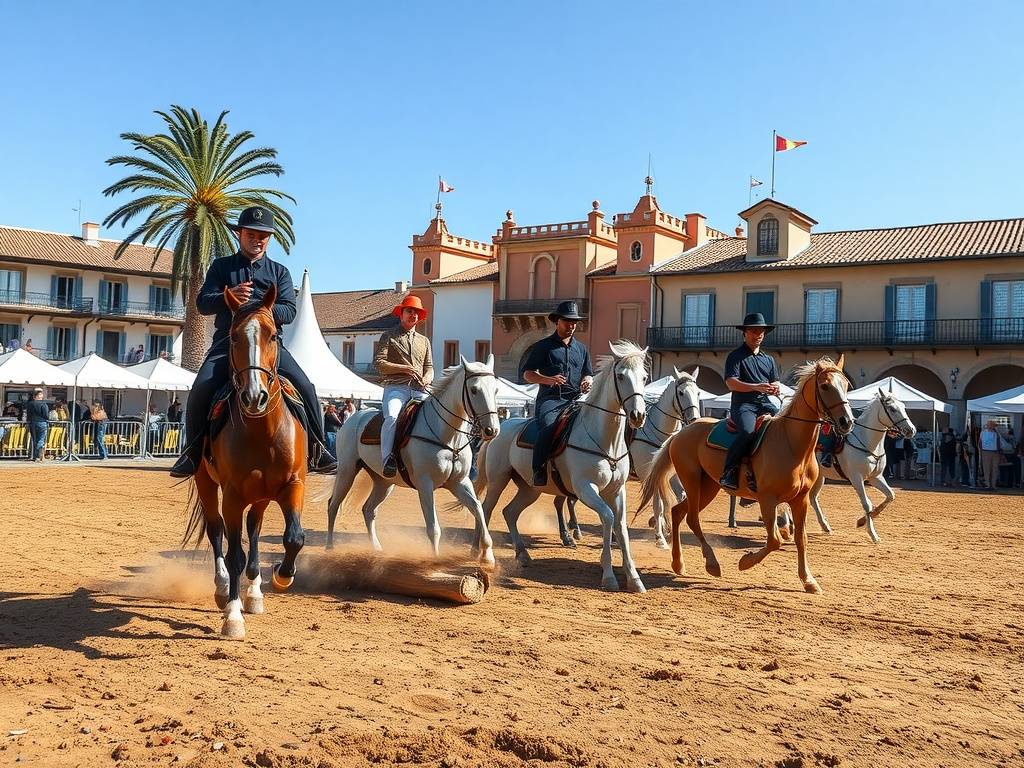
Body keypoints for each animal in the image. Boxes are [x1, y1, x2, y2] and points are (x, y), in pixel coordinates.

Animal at [183, 286, 307, 638]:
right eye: (234, 336)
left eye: (274, 335)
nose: (255, 397)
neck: (261, 431)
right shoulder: (233, 495)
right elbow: (233, 552)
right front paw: (233, 616)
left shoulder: (293, 484)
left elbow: (294, 537)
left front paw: (282, 575)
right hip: (206, 483)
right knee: (216, 531)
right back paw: (224, 588)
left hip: (262, 495)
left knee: (254, 529)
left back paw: (254, 591)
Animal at [325, 356, 501, 565]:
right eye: (474, 389)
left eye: (496, 390)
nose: (492, 430)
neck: (446, 435)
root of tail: (354, 419)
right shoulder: (425, 484)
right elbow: (433, 528)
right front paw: (434, 561)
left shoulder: (460, 482)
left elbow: (478, 508)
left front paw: (488, 555)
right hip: (347, 472)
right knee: (333, 505)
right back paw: (330, 546)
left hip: (384, 483)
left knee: (368, 510)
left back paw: (376, 547)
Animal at [473, 342, 647, 593]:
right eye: (621, 376)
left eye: (644, 377)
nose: (638, 415)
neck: (604, 440)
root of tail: (500, 428)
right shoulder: (586, 488)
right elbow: (607, 518)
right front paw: (608, 575)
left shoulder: (617, 491)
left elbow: (621, 527)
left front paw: (634, 578)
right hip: (498, 481)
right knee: (485, 509)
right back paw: (479, 552)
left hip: (530, 489)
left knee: (509, 512)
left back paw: (523, 554)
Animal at [638, 354, 856, 593]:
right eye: (825, 386)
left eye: (846, 385)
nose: (847, 421)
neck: (791, 443)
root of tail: (680, 433)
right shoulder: (767, 500)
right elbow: (775, 540)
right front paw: (745, 562)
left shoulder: (801, 500)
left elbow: (801, 539)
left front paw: (808, 581)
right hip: (692, 481)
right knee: (692, 518)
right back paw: (711, 563)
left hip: (708, 487)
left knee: (678, 512)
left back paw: (678, 563)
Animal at [806, 391, 921, 548]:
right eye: (892, 409)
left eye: (903, 406)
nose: (911, 430)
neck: (867, 442)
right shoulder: (856, 478)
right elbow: (866, 504)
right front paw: (872, 533)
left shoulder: (875, 477)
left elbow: (890, 495)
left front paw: (867, 518)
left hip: (819, 477)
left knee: (813, 498)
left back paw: (825, 526)